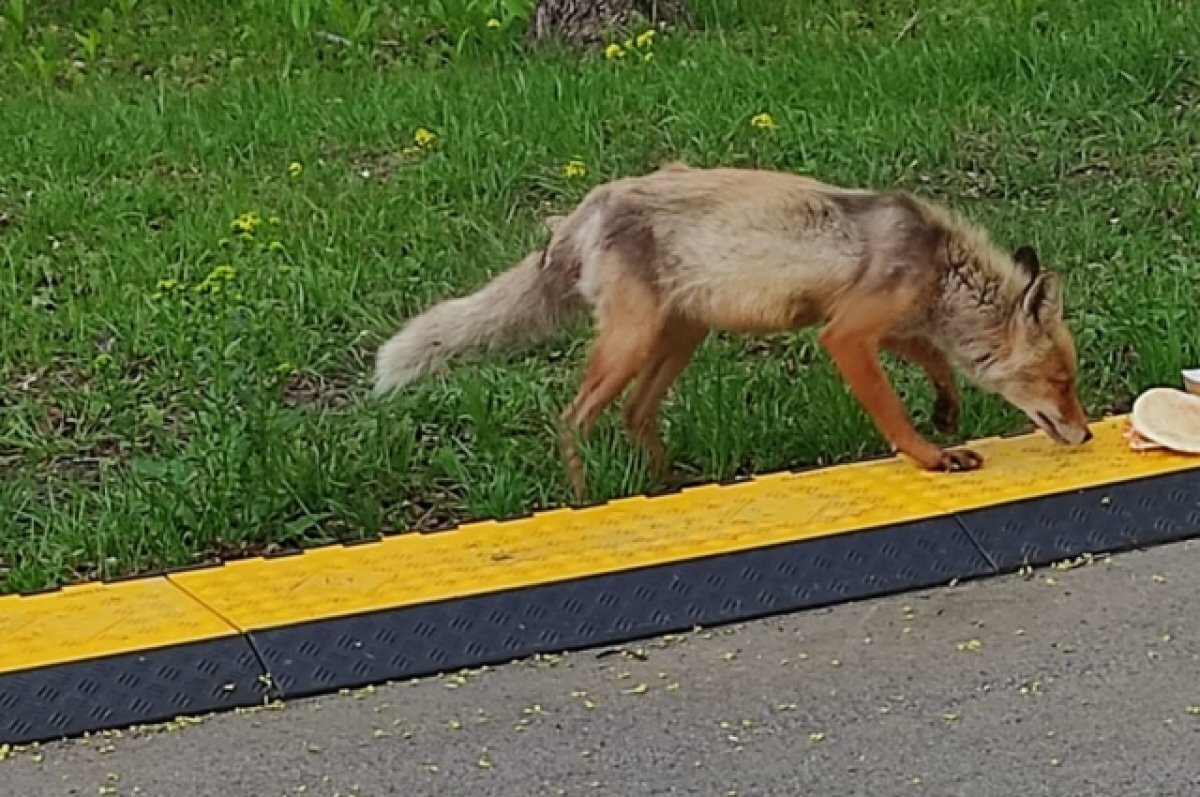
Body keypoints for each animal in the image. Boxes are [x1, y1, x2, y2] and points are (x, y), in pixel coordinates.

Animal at [372, 160, 1089, 499]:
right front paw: (933, 456)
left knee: (634, 414)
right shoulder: (846, 334)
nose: (1084, 435)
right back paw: (587, 498)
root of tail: (588, 205)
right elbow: (891, 411)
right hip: (631, 342)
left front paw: (947, 411)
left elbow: (936, 364)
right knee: (572, 420)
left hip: (679, 338)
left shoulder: (878, 322)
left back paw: (666, 487)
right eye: (1061, 380)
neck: (940, 264)